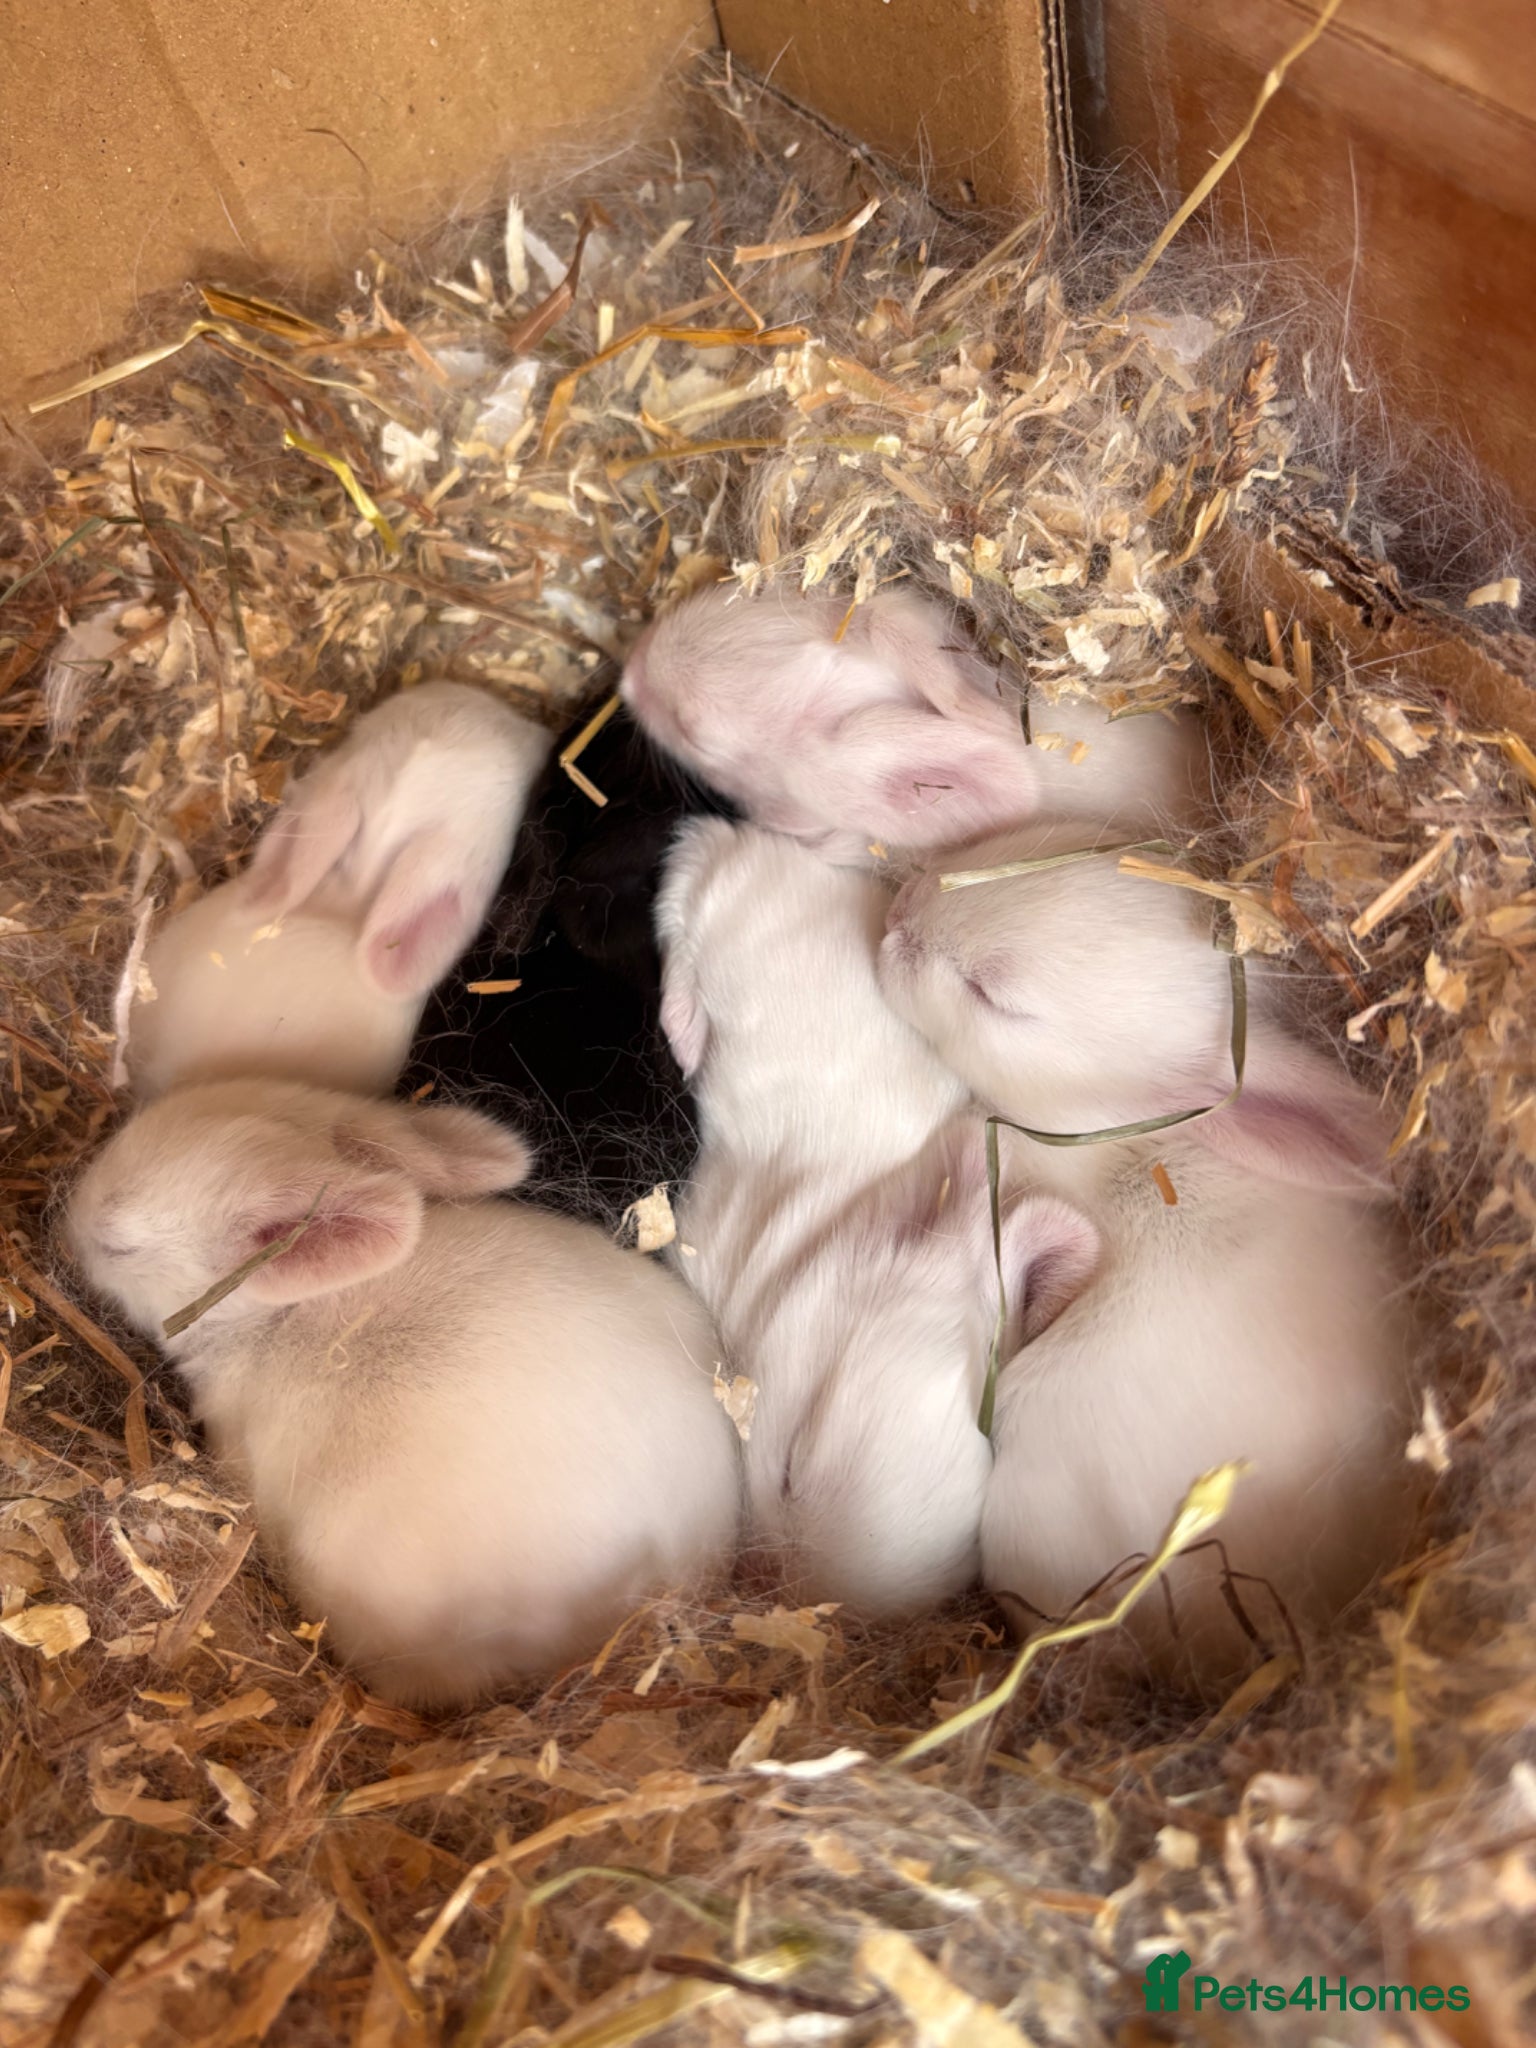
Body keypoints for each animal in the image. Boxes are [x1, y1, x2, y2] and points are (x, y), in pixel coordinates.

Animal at [654, 818, 1096, 1616]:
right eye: (790, 1468)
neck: (820, 1238)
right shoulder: (709, 1240)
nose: (760, 1581)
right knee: (687, 877)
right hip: (724, 900)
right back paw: (683, 1025)